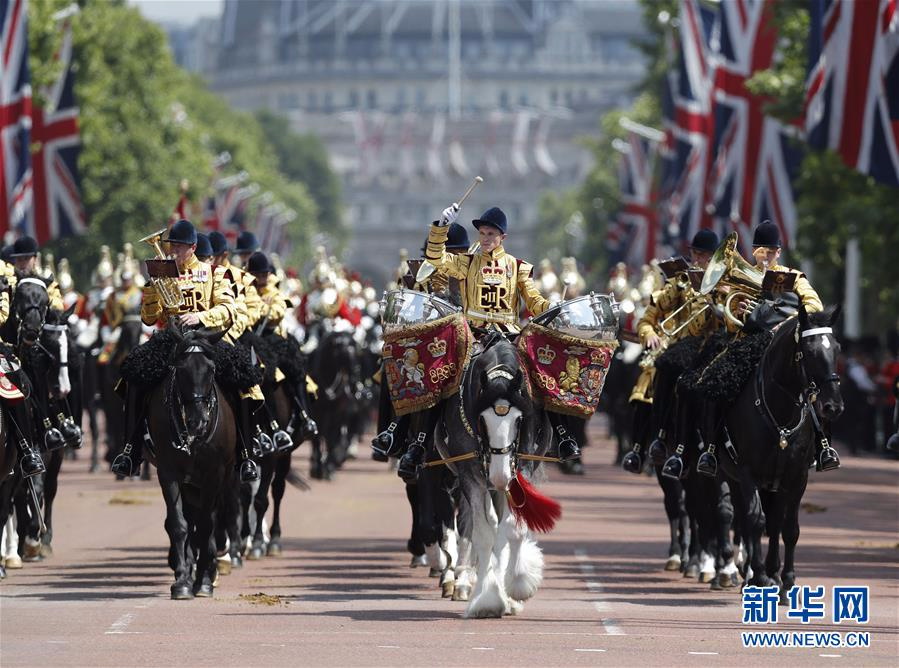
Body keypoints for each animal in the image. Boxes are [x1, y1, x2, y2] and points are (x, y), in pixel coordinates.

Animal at [145, 326, 236, 596]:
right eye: (181, 369)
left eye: (212, 370)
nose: (198, 422)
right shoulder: (168, 473)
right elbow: (179, 523)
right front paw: (183, 581)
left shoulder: (214, 474)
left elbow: (206, 525)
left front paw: (204, 580)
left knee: (213, 519)